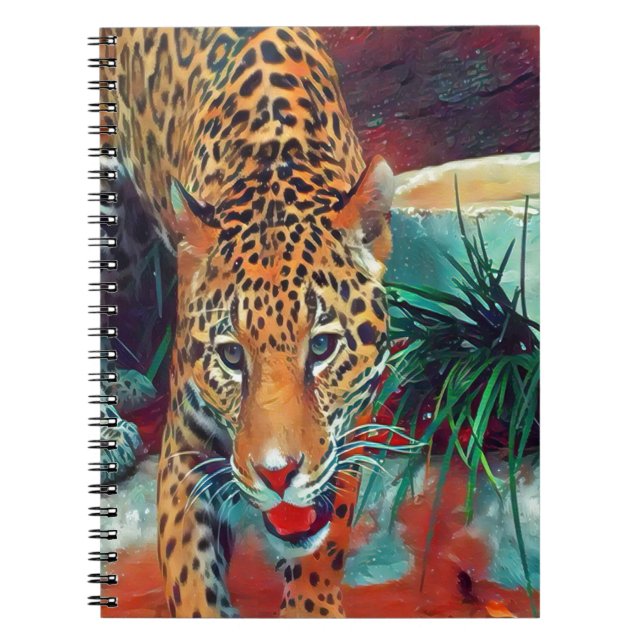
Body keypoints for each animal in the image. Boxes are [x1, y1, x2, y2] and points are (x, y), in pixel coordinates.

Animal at [99, 26, 395, 617]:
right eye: (232, 356)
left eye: (322, 348)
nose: (277, 474)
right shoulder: (185, 453)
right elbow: (194, 589)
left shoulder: (350, 430)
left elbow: (323, 537)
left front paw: (312, 601)